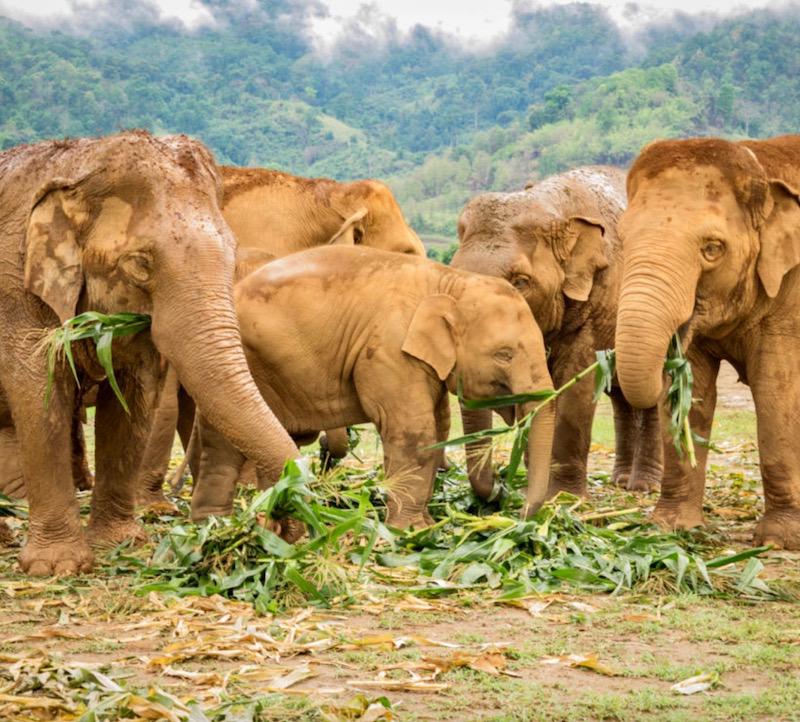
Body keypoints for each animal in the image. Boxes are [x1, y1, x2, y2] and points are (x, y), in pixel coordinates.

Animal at [0, 131, 300, 572]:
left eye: (232, 255)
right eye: (140, 264)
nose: (271, 520)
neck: (78, 160)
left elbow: (133, 400)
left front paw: (122, 544)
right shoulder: (15, 287)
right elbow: (41, 396)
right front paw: (58, 566)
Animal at [192, 245, 556, 524]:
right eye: (504, 355)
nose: (510, 505)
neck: (449, 282)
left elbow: (438, 426)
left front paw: (424, 524)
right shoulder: (389, 351)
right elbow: (415, 431)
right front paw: (410, 530)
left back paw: (220, 525)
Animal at [450, 169, 664, 504]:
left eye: (520, 282)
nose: (500, 485)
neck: (553, 203)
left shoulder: (598, 301)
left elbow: (576, 388)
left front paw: (563, 498)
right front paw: (532, 489)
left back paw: (643, 486)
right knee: (620, 396)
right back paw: (620, 480)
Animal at [616, 135, 800, 548]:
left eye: (712, 248)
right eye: (621, 240)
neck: (762, 161)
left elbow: (776, 390)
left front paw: (778, 540)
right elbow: (696, 387)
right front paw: (672, 527)